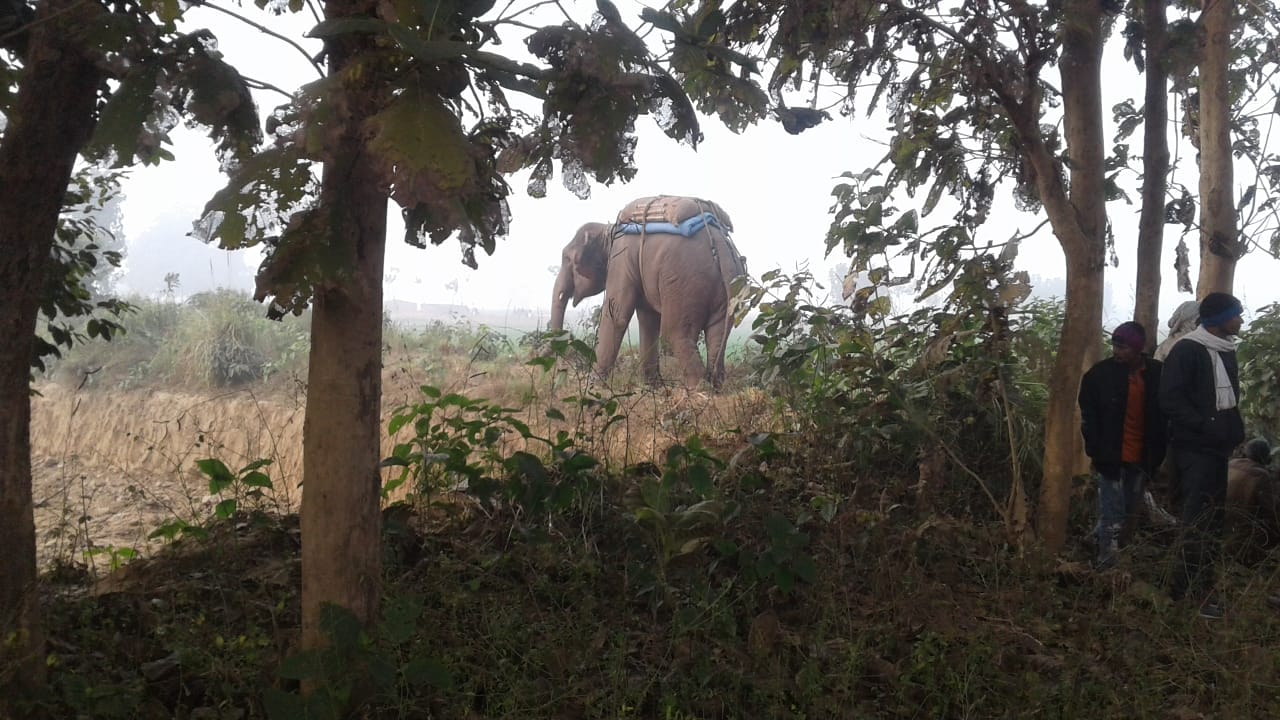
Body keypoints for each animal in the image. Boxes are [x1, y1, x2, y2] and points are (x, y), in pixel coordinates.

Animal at [549, 200, 747, 389]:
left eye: (568, 259)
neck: (609, 230)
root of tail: (718, 246)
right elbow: (648, 320)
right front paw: (652, 386)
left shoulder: (621, 260)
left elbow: (616, 316)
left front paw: (592, 386)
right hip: (729, 289)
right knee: (718, 333)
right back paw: (715, 386)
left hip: (685, 284)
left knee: (674, 333)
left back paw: (698, 391)